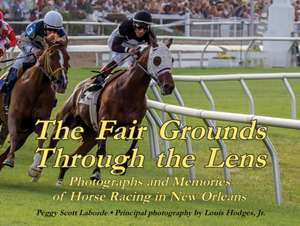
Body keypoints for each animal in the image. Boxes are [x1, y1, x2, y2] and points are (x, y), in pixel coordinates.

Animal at [0, 33, 69, 171]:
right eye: (51, 55)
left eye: (67, 57)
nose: (62, 83)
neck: (36, 88)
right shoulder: (14, 116)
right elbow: (13, 135)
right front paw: (10, 159)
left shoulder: (38, 121)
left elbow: (42, 139)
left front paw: (36, 166)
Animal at [29, 38, 175, 185]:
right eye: (157, 59)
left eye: (172, 59)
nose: (169, 86)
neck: (128, 91)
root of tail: (78, 88)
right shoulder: (105, 123)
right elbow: (101, 150)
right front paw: (96, 174)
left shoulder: (131, 126)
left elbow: (134, 143)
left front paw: (121, 166)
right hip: (64, 122)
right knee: (51, 148)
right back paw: (35, 171)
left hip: (90, 137)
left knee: (68, 159)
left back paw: (59, 180)